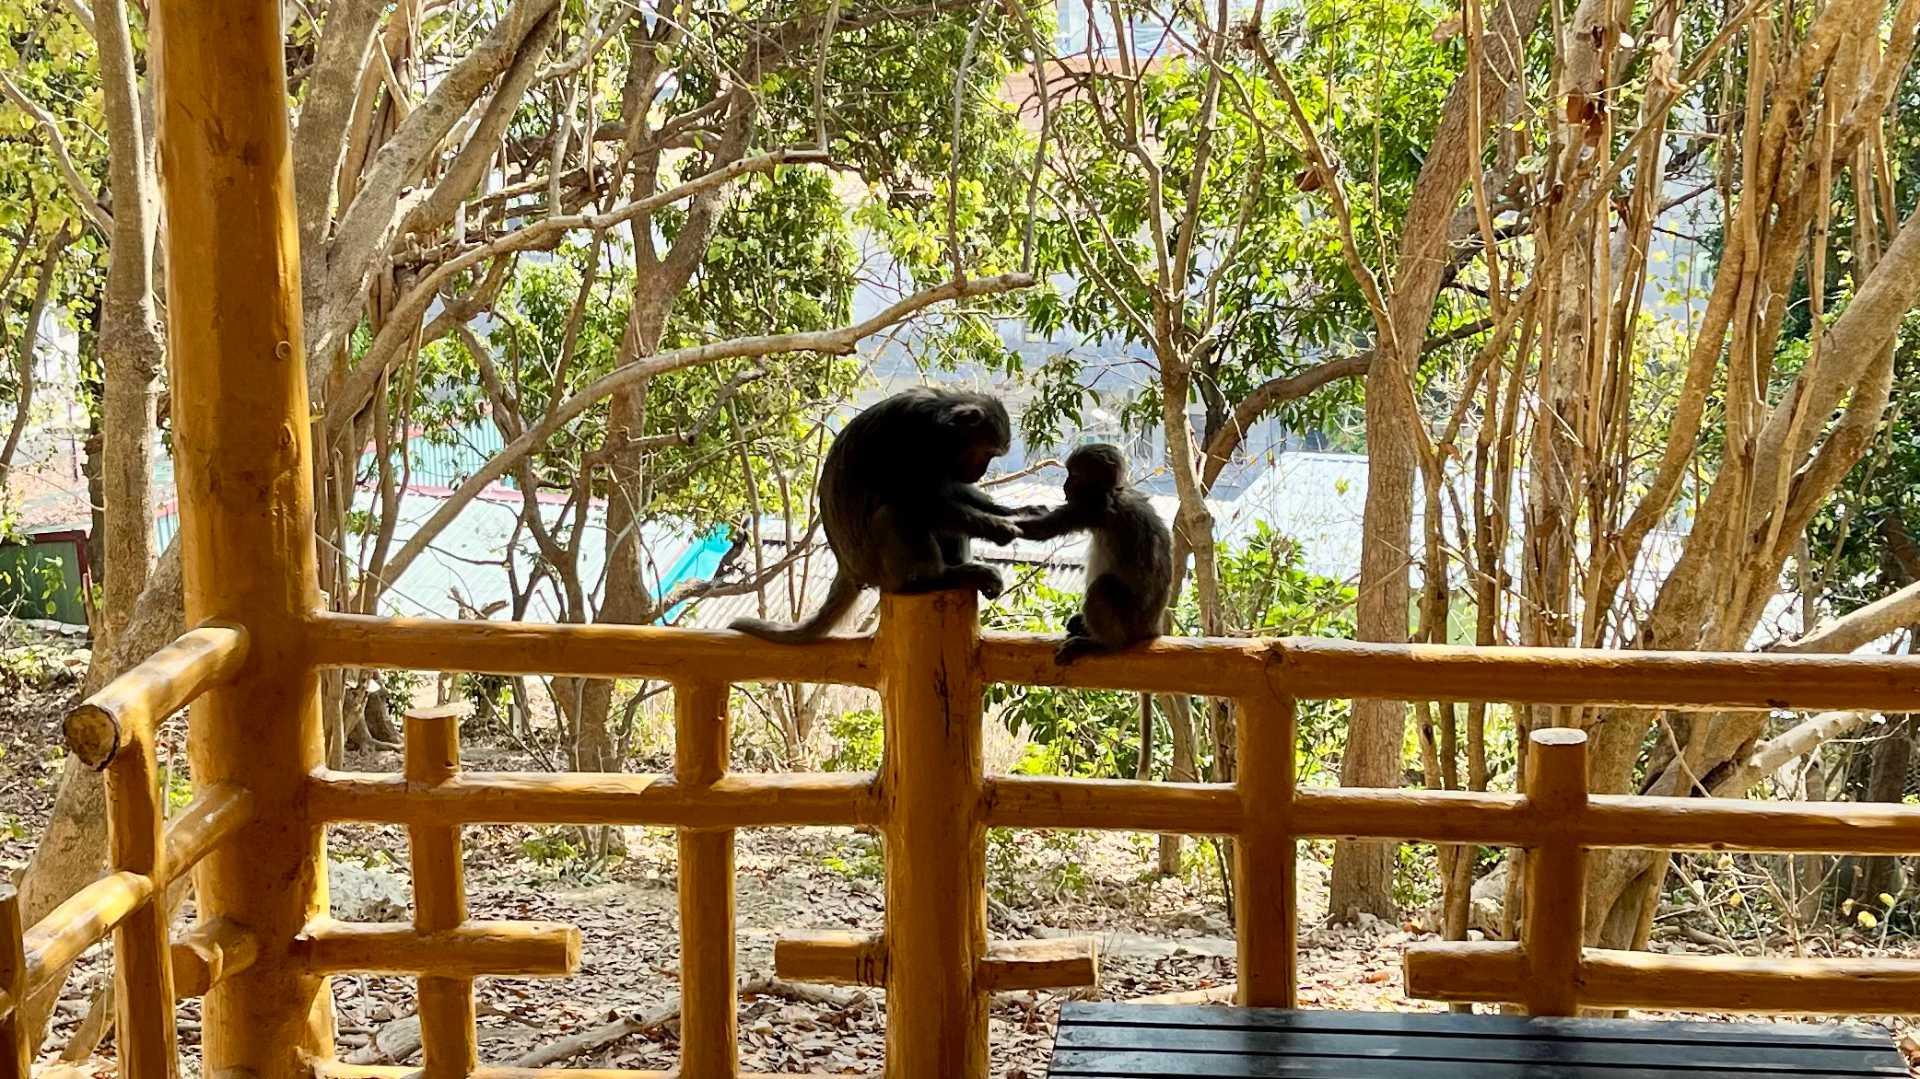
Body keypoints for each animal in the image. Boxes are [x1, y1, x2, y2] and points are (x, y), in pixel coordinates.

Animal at [729, 385, 1036, 637]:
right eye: (986, 453)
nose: (981, 471)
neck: (940, 426)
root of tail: (848, 567)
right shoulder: (912, 438)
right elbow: (923, 500)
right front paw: (997, 527)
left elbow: (948, 491)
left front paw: (1019, 512)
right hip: (873, 563)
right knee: (896, 512)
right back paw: (931, 578)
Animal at [1021, 441, 1167, 660]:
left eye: (1074, 475)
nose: (1065, 486)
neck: (1114, 491)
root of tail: (1152, 630)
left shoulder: (1090, 509)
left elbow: (1038, 529)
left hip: (1132, 622)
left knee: (1103, 586)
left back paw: (1103, 643)